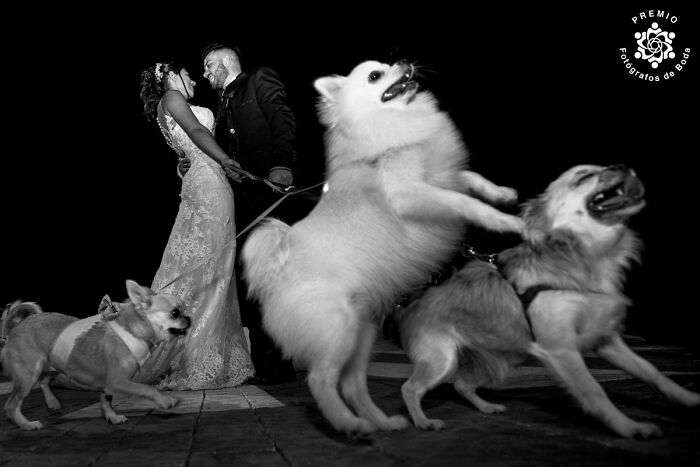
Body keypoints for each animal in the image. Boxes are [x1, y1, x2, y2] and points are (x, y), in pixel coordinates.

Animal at [1, 280, 190, 430]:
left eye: (184, 309)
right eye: (175, 313)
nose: (189, 318)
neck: (133, 330)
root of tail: (17, 325)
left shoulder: (108, 385)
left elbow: (106, 400)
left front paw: (112, 417)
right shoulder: (117, 382)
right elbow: (147, 388)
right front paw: (165, 400)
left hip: (46, 367)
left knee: (43, 382)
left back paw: (52, 402)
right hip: (27, 375)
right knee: (11, 406)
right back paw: (27, 424)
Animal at [243, 60, 524, 436]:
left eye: (388, 64)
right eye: (375, 76)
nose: (404, 64)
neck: (393, 125)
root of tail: (278, 264)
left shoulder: (444, 178)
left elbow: (472, 180)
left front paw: (502, 194)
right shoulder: (414, 193)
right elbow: (467, 203)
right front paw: (506, 222)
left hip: (362, 335)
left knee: (352, 385)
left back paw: (383, 422)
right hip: (339, 330)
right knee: (321, 380)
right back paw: (350, 423)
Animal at [400, 165, 700, 438]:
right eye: (583, 176)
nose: (623, 166)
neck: (588, 259)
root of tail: (411, 305)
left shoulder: (606, 341)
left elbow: (651, 371)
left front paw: (688, 399)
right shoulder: (561, 350)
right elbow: (594, 389)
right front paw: (628, 427)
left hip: (504, 359)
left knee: (462, 384)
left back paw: (486, 406)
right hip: (443, 360)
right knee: (411, 387)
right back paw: (423, 421)